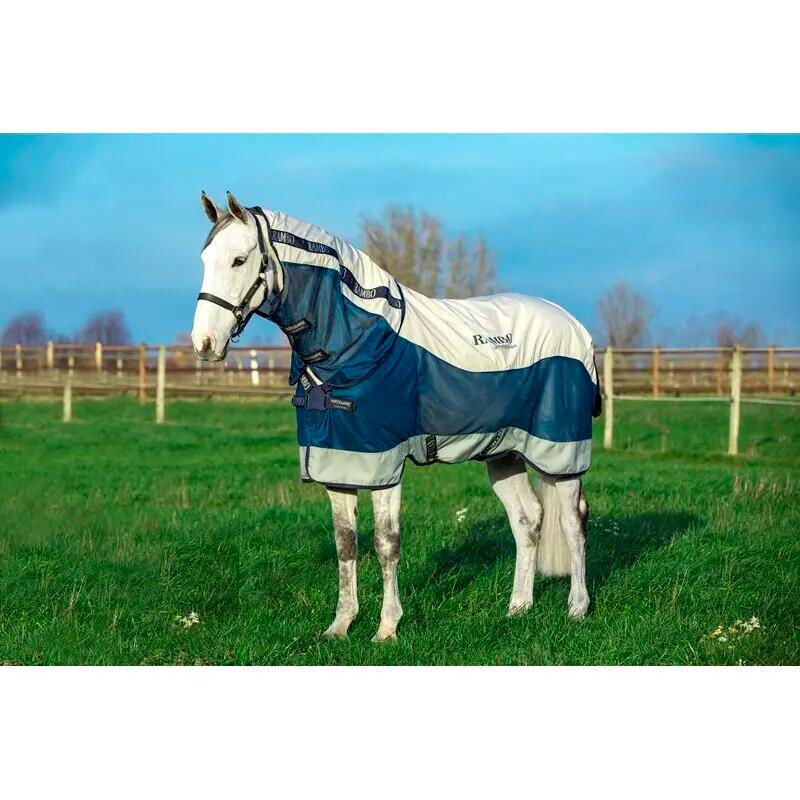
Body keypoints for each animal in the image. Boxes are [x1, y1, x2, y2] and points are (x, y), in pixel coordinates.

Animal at [192, 191, 600, 642]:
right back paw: (518, 608)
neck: (356, 344)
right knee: (527, 521)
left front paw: (387, 628)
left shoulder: (383, 464)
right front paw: (340, 625)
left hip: (559, 452)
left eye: (239, 260)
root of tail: (575, 327)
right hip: (503, 453)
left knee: (572, 521)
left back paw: (577, 608)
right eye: (205, 258)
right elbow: (345, 543)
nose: (203, 344)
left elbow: (386, 543)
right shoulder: (340, 463)